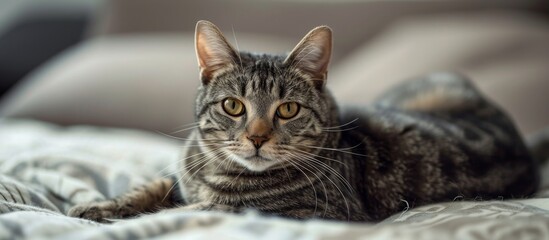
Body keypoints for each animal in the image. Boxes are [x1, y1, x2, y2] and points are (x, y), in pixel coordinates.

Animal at [68, 19, 540, 222]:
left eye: (288, 110)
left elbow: (181, 212)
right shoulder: (177, 176)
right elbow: (150, 188)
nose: (257, 138)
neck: (213, 170)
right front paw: (96, 205)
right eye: (234, 106)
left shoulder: (310, 212)